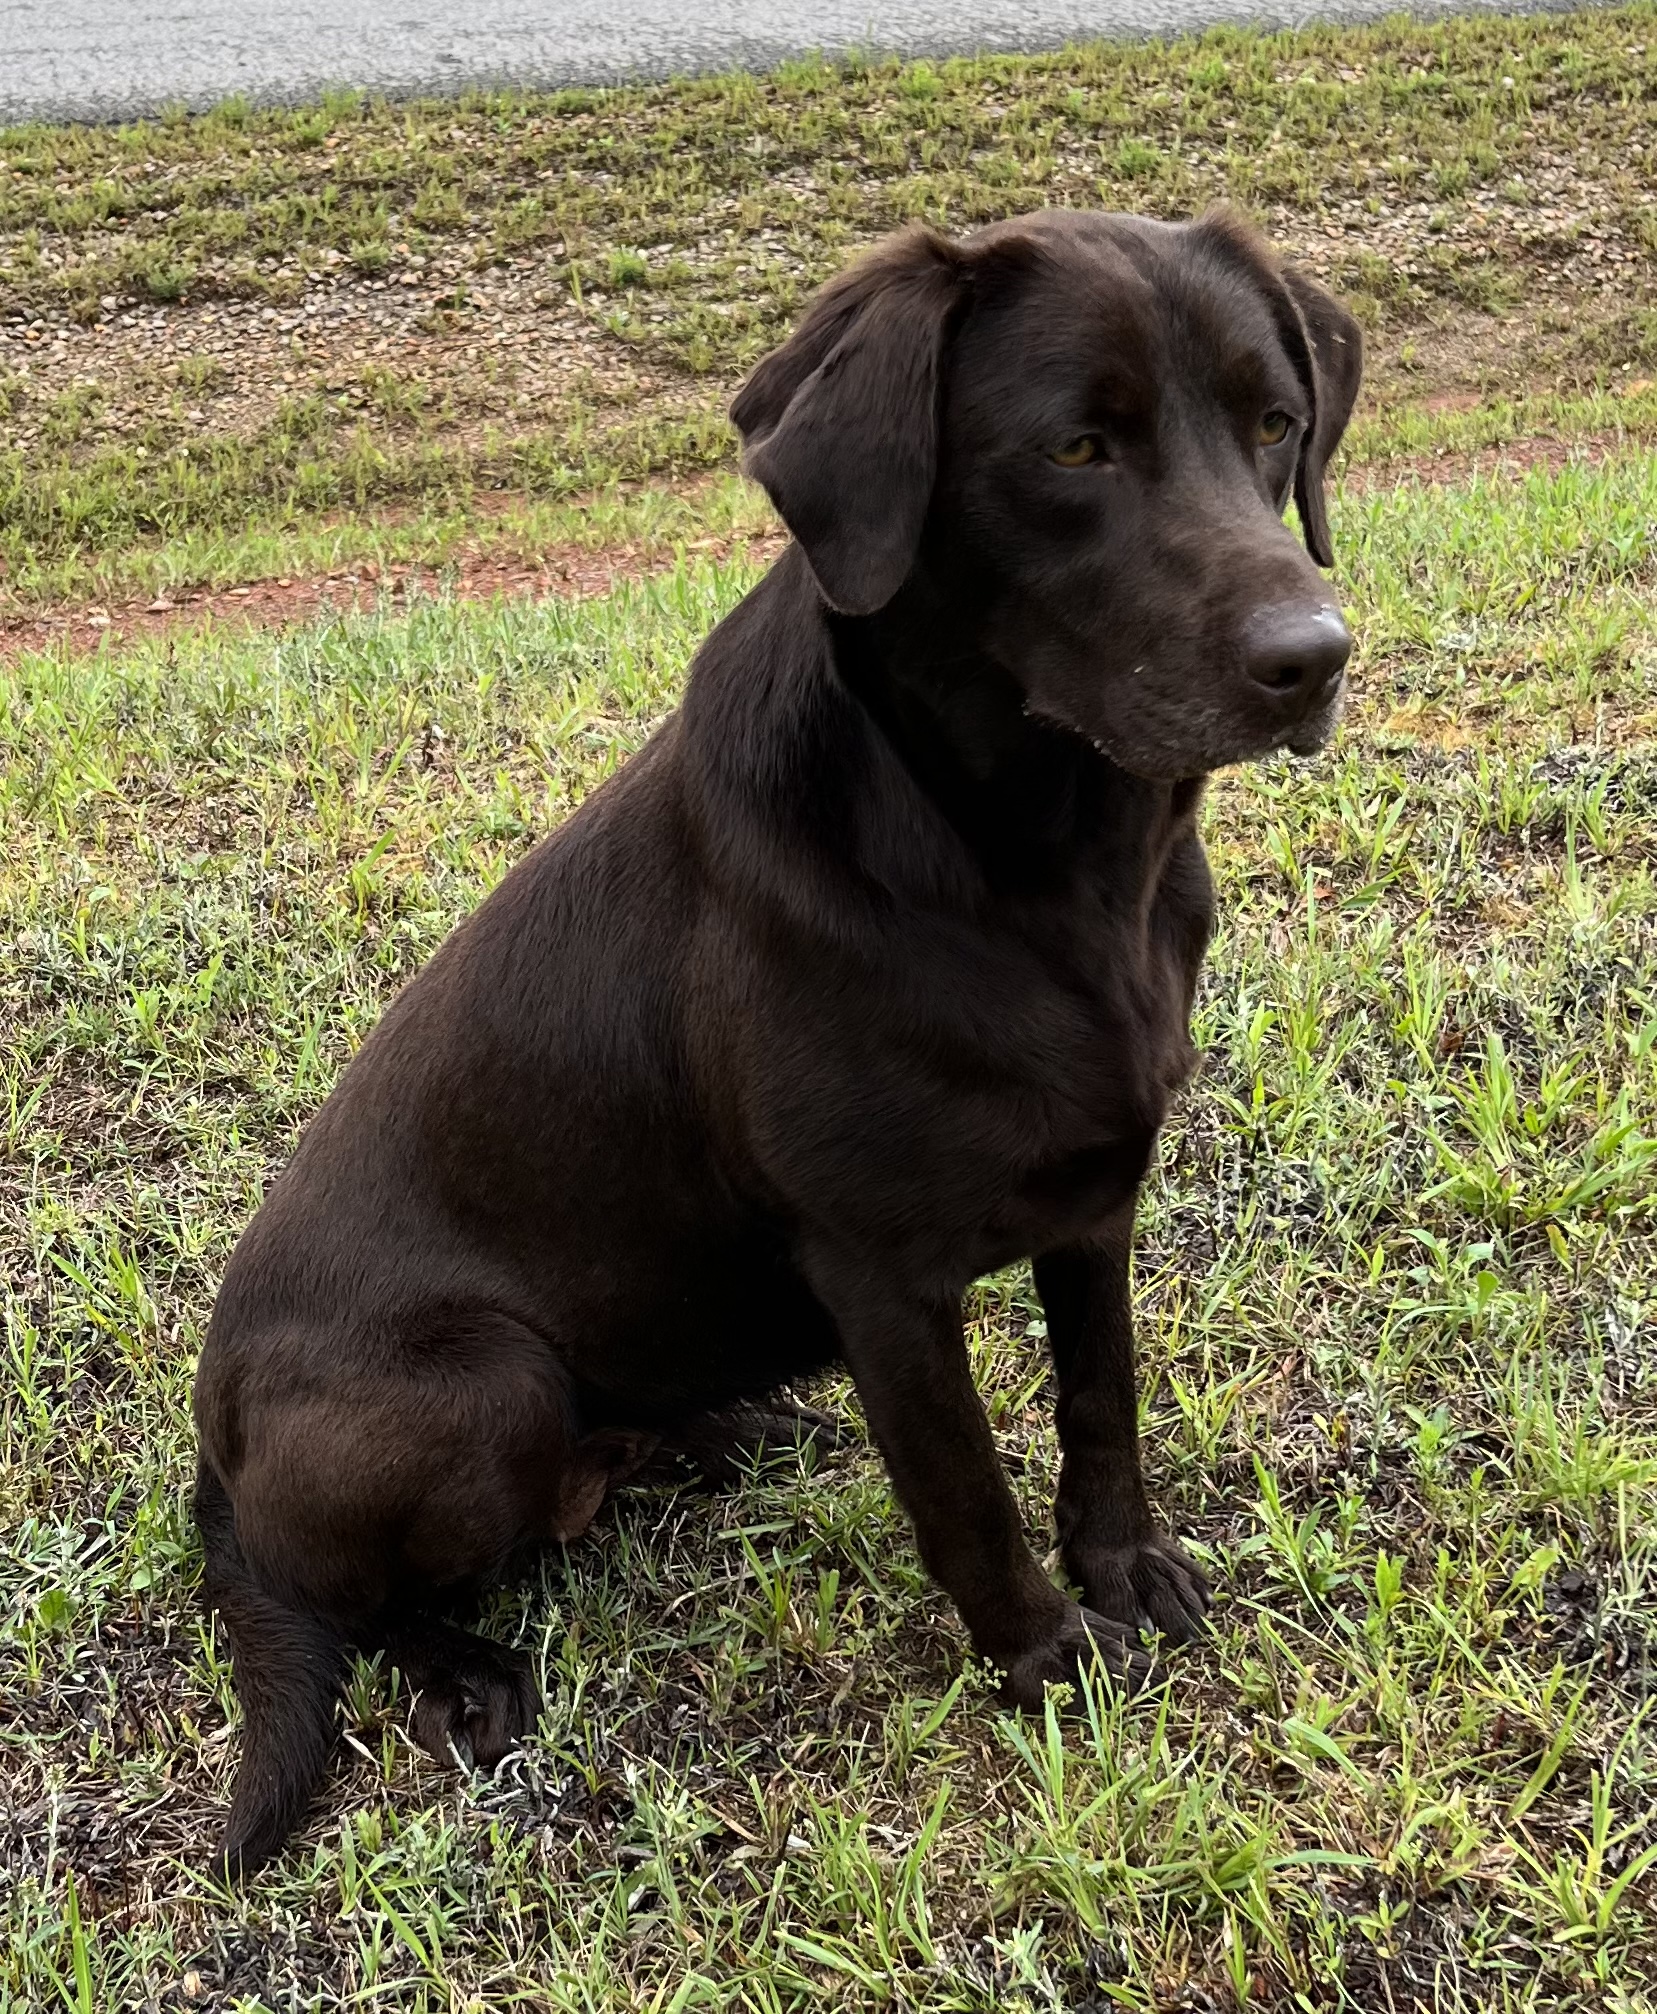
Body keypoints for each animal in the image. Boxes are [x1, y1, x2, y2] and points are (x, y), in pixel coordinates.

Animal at [194, 204, 1361, 1868]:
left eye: (1273, 426)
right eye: (1074, 446)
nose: (1310, 657)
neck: (1050, 867)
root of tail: (211, 1446)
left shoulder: (1095, 1206)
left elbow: (1101, 1403)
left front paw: (1123, 1571)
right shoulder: (877, 1270)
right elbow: (964, 1490)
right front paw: (1042, 1661)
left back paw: (704, 1436)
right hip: (484, 1387)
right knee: (346, 1594)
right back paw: (471, 1665)